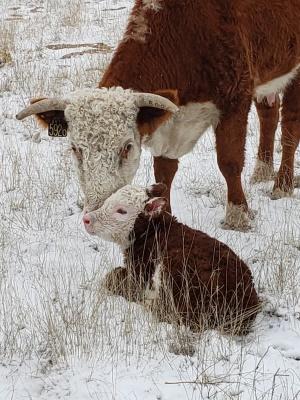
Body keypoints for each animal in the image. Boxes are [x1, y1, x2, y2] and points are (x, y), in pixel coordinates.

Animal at [16, 0, 300, 230]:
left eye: (127, 147)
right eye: (75, 149)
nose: (95, 212)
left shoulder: (234, 99)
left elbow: (229, 162)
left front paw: (238, 216)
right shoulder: (167, 122)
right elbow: (164, 170)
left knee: (289, 127)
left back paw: (282, 184)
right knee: (269, 115)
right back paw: (263, 170)